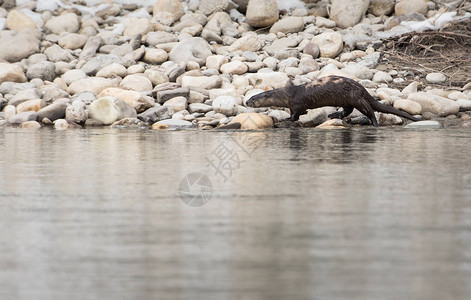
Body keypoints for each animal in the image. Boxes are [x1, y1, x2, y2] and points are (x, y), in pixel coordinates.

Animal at [247, 75, 420, 127]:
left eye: (253, 98)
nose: (247, 102)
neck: (288, 94)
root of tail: (363, 90)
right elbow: (302, 112)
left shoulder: (296, 103)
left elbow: (295, 116)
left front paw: (285, 119)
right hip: (348, 100)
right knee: (348, 110)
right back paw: (335, 115)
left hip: (357, 99)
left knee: (369, 111)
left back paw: (375, 124)